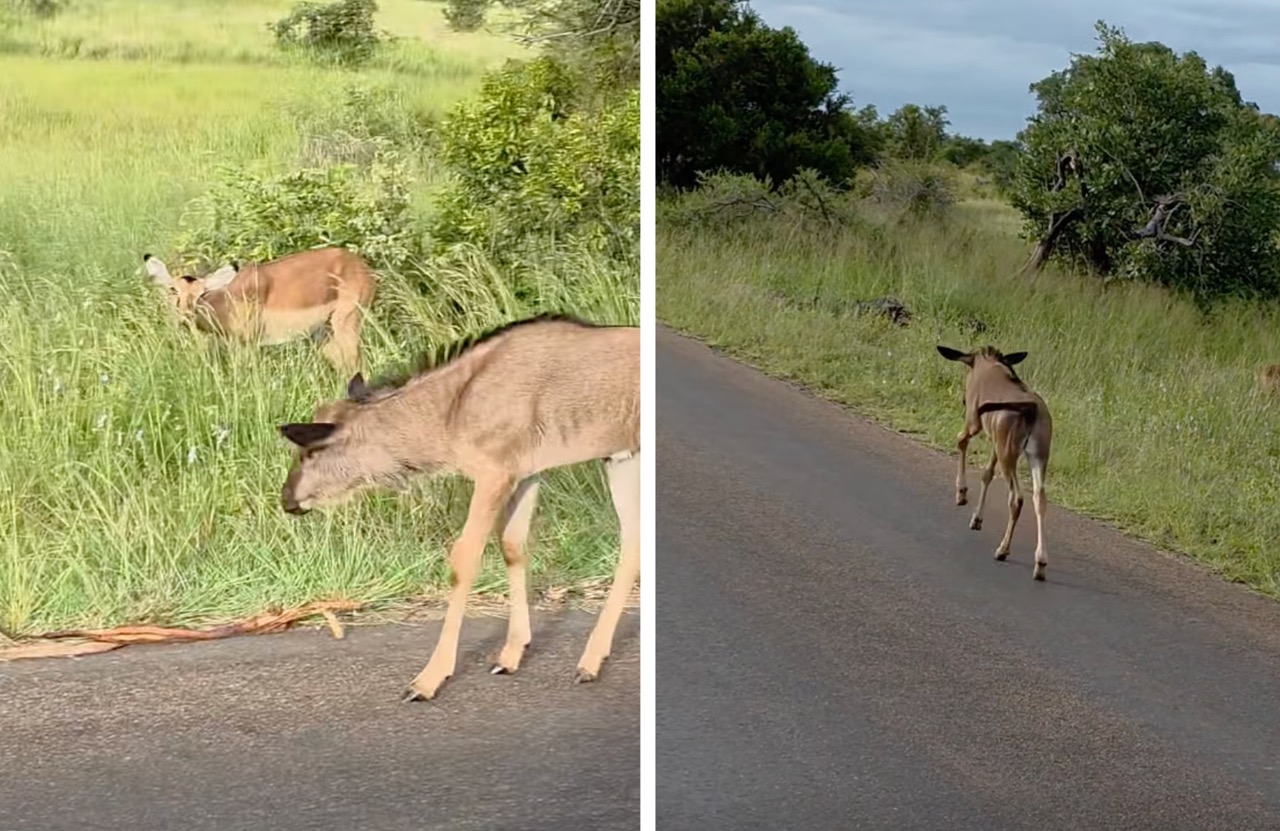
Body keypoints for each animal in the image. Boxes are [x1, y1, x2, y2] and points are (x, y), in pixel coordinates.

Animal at [142, 247, 377, 374]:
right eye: (173, 289)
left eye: (202, 293)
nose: (185, 316)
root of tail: (359, 264)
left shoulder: (249, 344)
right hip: (324, 335)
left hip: (347, 323)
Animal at [276, 314, 640, 701]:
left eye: (310, 452)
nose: (288, 498)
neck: (451, 412)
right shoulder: (525, 473)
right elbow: (512, 546)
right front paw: (510, 655)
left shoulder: (494, 474)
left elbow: (463, 560)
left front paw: (428, 680)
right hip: (620, 458)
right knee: (633, 541)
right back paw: (591, 661)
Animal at [937, 345, 1053, 580]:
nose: (963, 400)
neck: (990, 364)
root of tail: (1031, 408)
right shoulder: (995, 442)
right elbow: (986, 473)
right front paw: (976, 518)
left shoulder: (974, 423)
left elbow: (960, 440)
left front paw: (961, 494)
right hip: (1036, 455)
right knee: (1039, 497)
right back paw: (1040, 563)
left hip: (1008, 454)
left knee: (1017, 497)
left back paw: (1003, 550)